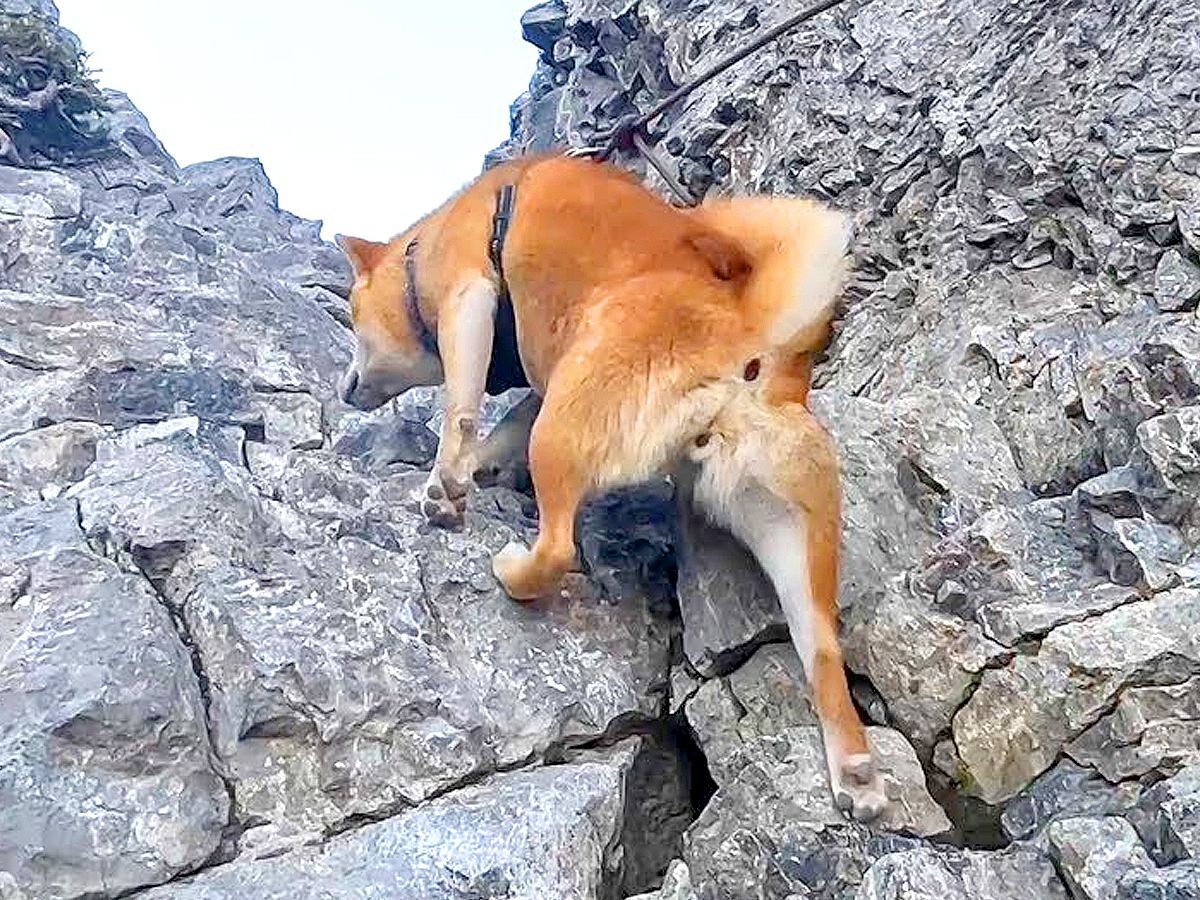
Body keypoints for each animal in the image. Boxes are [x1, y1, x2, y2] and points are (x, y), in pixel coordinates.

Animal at [333, 154, 888, 825]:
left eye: (351, 320)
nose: (343, 389)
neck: (426, 245)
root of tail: (747, 339)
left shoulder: (471, 298)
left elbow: (461, 411)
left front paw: (447, 483)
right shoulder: (533, 381)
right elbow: (502, 425)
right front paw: (480, 467)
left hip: (563, 427)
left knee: (556, 550)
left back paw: (512, 569)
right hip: (786, 527)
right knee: (823, 653)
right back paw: (857, 771)